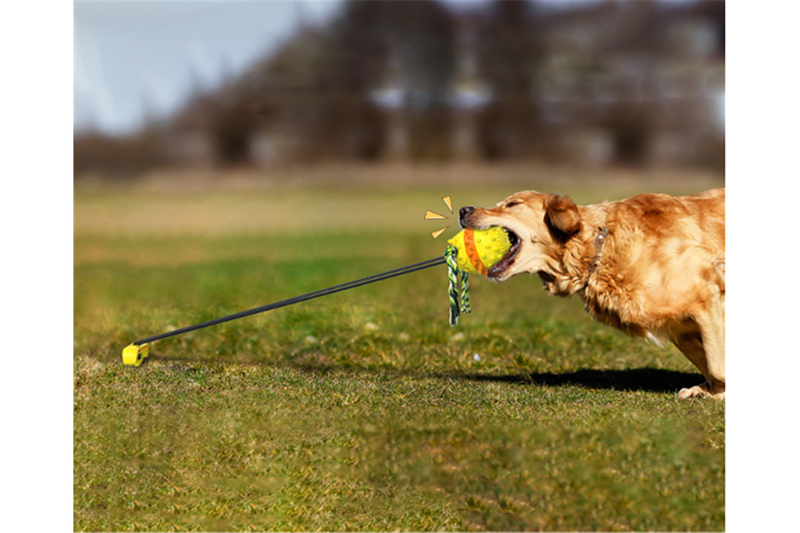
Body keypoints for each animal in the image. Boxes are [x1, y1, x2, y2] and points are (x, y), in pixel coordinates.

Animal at [456, 189, 724, 396]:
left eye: (512, 204)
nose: (462, 210)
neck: (601, 248)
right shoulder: (680, 327)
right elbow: (710, 364)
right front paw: (710, 392)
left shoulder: (706, 296)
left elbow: (717, 365)